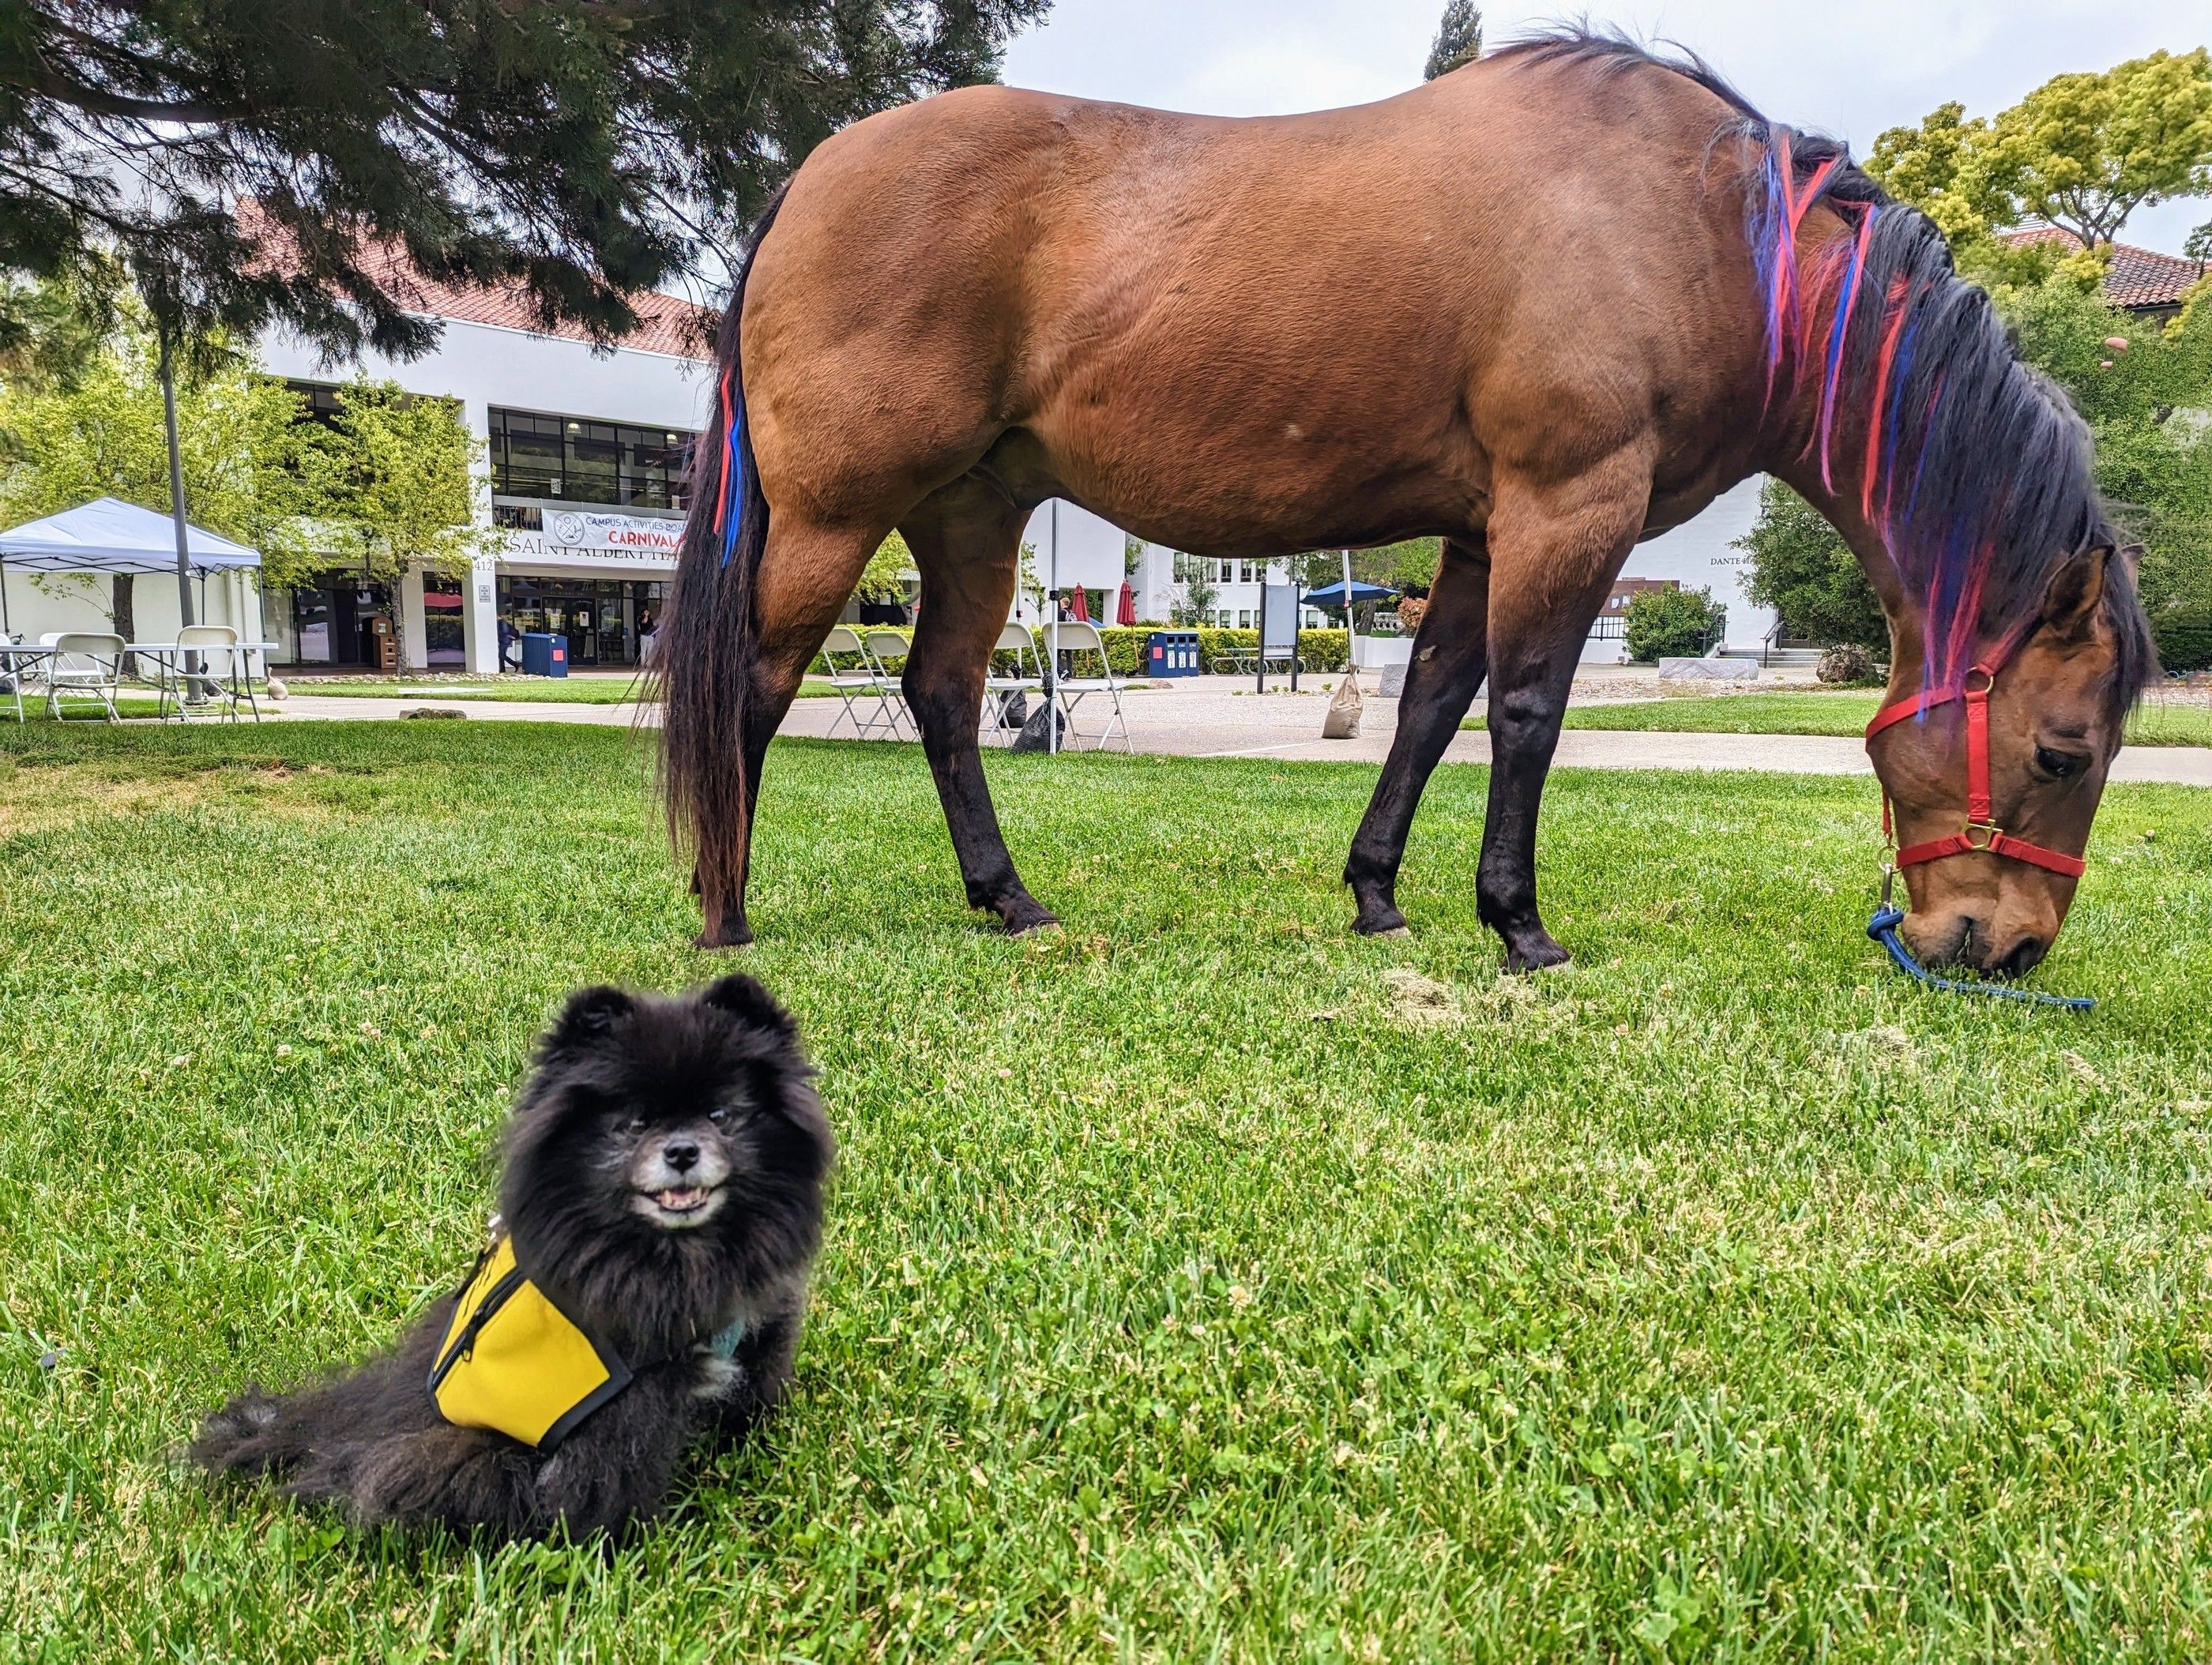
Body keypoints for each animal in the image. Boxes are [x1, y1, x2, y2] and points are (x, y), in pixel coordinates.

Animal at [186, 972, 831, 1530]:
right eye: (633, 1124)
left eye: (722, 1116)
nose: (681, 1150)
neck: (673, 1253)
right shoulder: (623, 1411)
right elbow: (608, 1484)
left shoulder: (759, 1328)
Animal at [664, 29, 2150, 972]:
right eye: (2062, 752)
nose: (2008, 950)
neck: (1705, 230)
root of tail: (813, 175)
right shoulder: (1570, 509)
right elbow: (1529, 710)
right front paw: (1520, 925)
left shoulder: (1485, 533)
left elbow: (1432, 706)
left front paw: (1378, 896)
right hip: (835, 517)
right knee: (758, 686)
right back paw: (726, 909)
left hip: (973, 515)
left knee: (943, 691)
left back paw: (1009, 900)